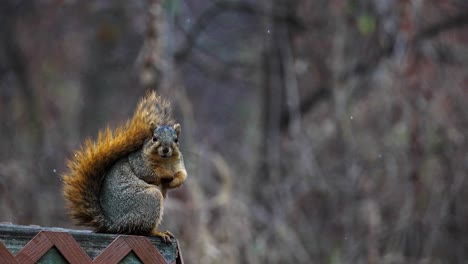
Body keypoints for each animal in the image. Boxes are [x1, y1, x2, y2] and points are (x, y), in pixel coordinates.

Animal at [61, 92, 186, 242]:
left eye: (176, 140)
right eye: (154, 138)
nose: (166, 149)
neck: (165, 161)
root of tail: (114, 225)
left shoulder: (179, 164)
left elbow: (182, 175)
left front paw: (176, 180)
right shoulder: (139, 163)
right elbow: (150, 173)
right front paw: (166, 174)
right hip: (150, 199)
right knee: (144, 230)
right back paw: (158, 233)